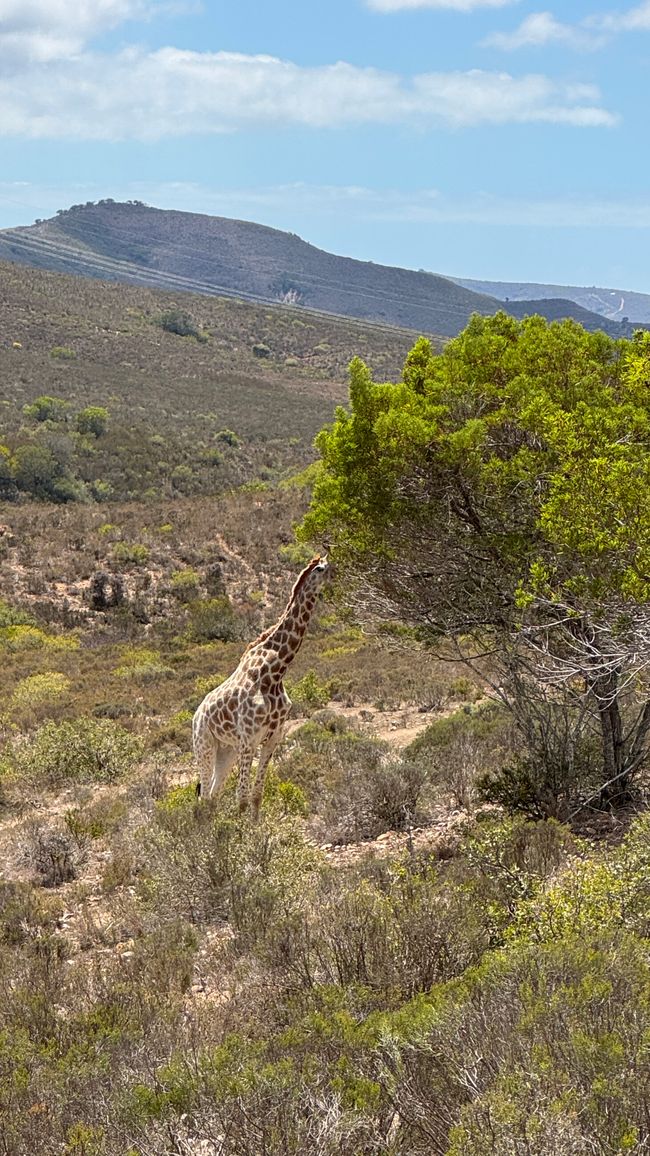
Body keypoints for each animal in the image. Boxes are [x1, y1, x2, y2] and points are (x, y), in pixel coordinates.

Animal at [192, 555, 331, 818]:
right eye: (320, 569)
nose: (335, 572)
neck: (275, 671)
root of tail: (195, 716)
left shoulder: (273, 738)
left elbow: (256, 796)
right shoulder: (249, 740)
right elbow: (242, 799)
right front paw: (239, 831)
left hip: (227, 750)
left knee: (213, 796)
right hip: (204, 745)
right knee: (203, 798)